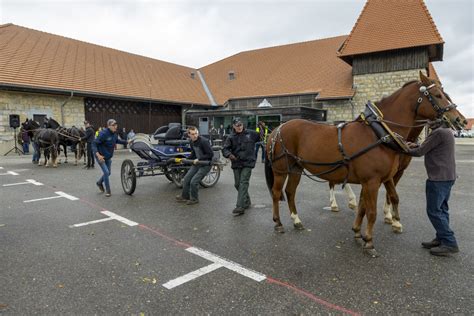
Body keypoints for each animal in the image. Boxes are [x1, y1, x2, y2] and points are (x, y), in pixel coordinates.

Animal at [266, 72, 466, 254]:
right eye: (438, 95)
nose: (459, 119)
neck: (379, 134)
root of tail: (278, 128)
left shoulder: (372, 180)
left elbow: (365, 207)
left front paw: (358, 232)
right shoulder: (372, 181)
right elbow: (371, 212)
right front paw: (369, 241)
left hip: (296, 168)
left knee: (290, 192)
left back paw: (296, 221)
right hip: (281, 169)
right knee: (276, 193)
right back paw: (278, 223)